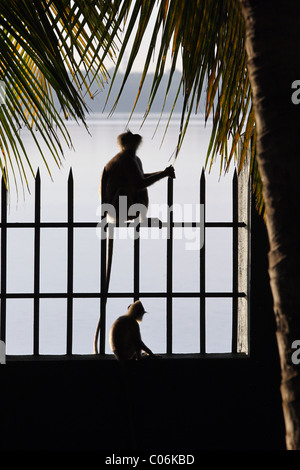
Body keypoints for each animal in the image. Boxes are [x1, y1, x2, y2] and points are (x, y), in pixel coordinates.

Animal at [92, 131, 175, 352]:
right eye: (131, 135)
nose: (137, 134)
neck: (128, 152)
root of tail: (110, 217)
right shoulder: (129, 161)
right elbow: (138, 183)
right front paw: (166, 172)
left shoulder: (135, 158)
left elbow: (142, 178)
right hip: (119, 207)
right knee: (128, 189)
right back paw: (137, 218)